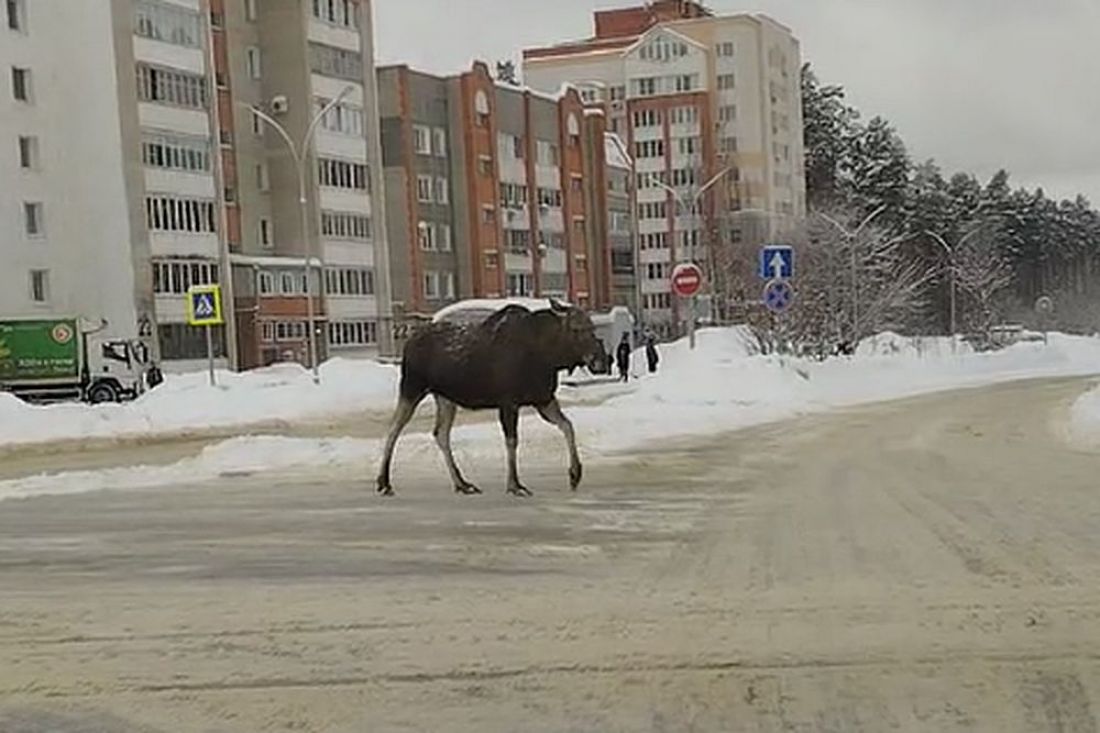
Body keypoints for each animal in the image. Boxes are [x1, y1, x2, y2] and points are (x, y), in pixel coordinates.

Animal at [376, 299, 602, 497]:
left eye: (592, 327)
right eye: (576, 329)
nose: (599, 359)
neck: (548, 357)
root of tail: (408, 342)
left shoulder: (543, 399)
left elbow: (567, 425)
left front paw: (575, 473)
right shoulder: (509, 402)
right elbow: (512, 441)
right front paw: (514, 485)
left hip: (445, 397)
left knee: (440, 433)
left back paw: (462, 483)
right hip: (412, 387)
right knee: (395, 427)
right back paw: (384, 482)